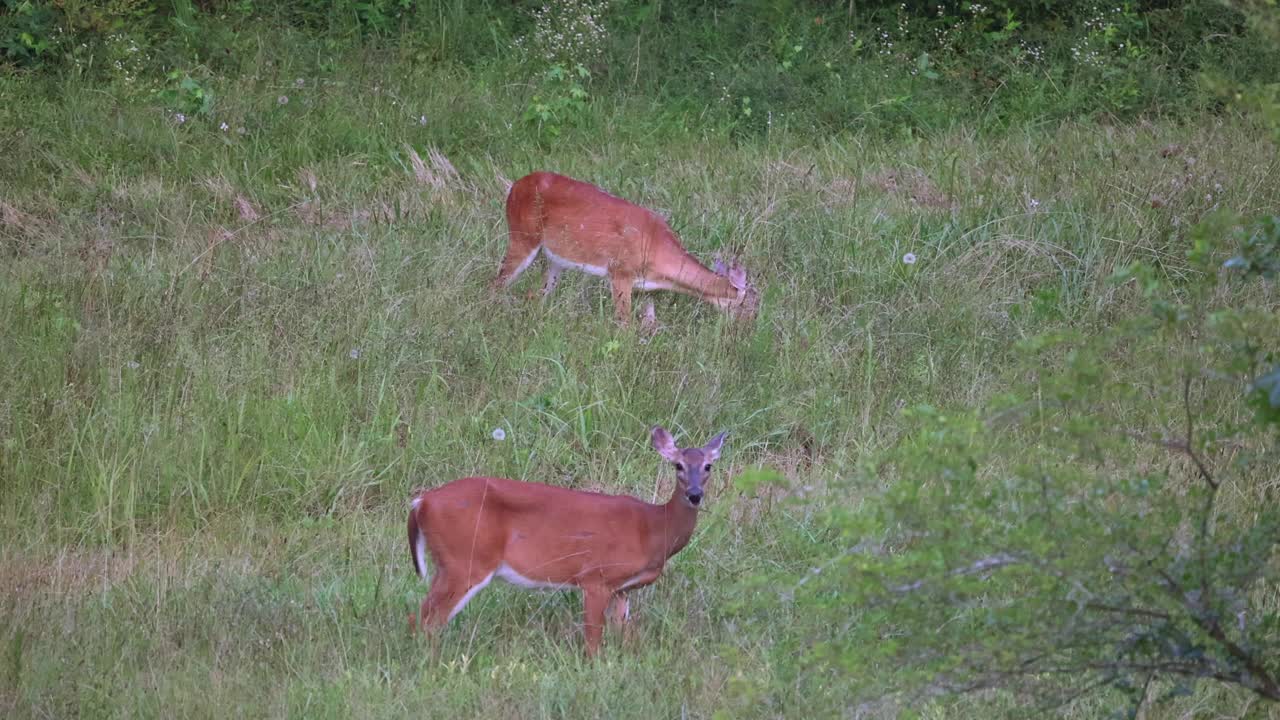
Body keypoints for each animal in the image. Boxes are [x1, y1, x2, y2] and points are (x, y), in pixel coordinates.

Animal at [409, 425, 732, 655]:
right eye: (678, 465)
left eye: (708, 466)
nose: (694, 494)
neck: (652, 529)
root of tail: (421, 503)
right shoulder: (595, 576)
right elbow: (592, 641)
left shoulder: (621, 590)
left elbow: (624, 636)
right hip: (466, 560)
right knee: (426, 620)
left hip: (450, 563)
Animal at [486, 170, 747, 322]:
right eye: (748, 304)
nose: (747, 329)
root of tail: (513, 187)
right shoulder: (620, 271)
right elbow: (624, 324)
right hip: (522, 235)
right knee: (496, 283)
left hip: (555, 259)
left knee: (536, 294)